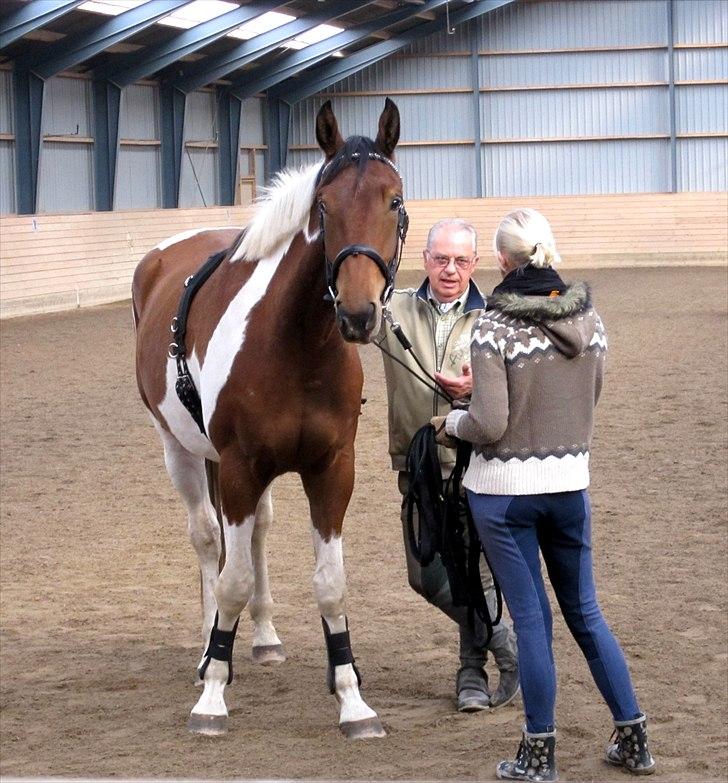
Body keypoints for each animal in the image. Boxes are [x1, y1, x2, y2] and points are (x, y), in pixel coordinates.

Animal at [134, 99, 406, 740]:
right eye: (324, 206)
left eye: (394, 200)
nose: (358, 314)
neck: (297, 343)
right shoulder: (238, 467)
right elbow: (229, 577)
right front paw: (213, 694)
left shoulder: (331, 470)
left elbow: (330, 585)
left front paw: (352, 700)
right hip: (182, 453)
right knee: (208, 539)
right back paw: (209, 647)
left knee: (255, 531)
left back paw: (260, 638)